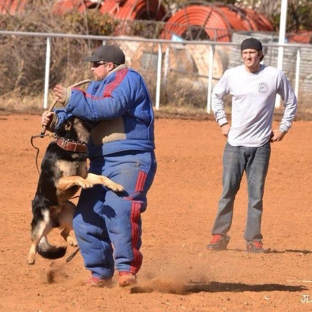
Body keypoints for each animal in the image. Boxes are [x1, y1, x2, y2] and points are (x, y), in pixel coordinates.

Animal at [26, 116, 123, 264]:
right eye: (83, 118)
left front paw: (115, 185)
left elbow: (101, 177)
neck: (71, 146)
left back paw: (72, 241)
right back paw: (30, 257)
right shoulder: (59, 182)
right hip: (43, 221)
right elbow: (75, 177)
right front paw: (85, 184)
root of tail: (54, 218)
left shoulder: (86, 174)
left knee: (62, 232)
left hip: (71, 214)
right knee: (34, 241)